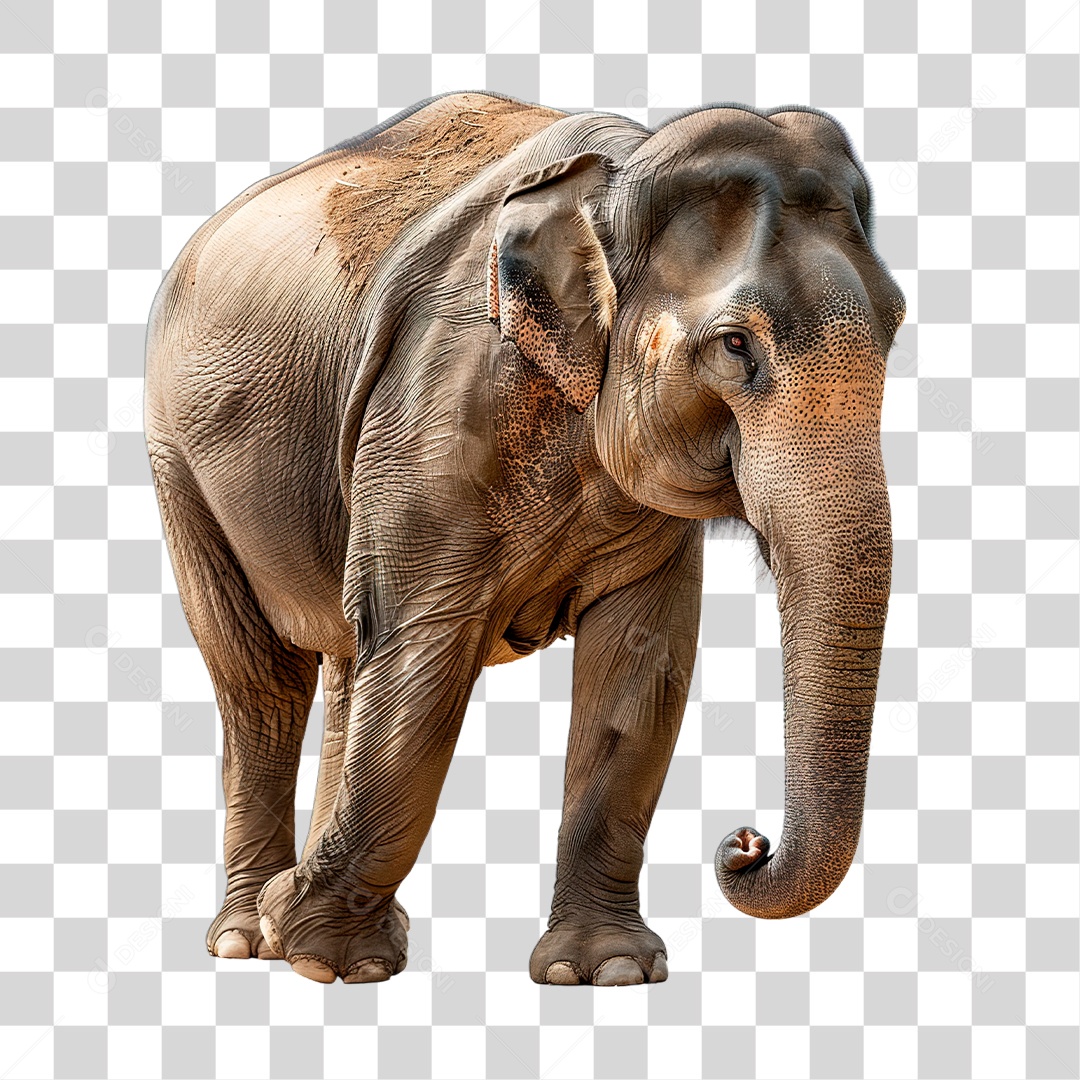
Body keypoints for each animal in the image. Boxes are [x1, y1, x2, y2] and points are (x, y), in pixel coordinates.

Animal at [144, 91, 904, 986]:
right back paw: (252, 940)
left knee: (346, 659)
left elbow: (640, 667)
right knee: (261, 681)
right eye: (735, 345)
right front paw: (315, 951)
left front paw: (606, 971)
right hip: (178, 460)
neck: (619, 181)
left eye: (895, 325)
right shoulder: (435, 400)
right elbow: (424, 647)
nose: (745, 843)